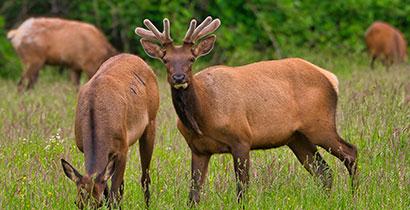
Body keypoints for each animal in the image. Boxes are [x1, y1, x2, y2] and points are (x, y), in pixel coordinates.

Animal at [60, 53, 159, 208]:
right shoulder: (84, 148)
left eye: (98, 203)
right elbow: (109, 188)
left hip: (151, 122)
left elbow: (113, 195)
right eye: (77, 203)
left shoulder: (122, 149)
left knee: (145, 176)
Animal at [136, 16, 358, 205]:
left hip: (320, 124)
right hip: (297, 137)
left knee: (350, 152)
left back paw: (354, 196)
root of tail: (330, 78)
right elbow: (194, 195)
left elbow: (242, 190)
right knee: (324, 172)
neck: (204, 116)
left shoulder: (242, 138)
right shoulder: (198, 149)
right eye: (165, 59)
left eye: (191, 59)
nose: (179, 77)